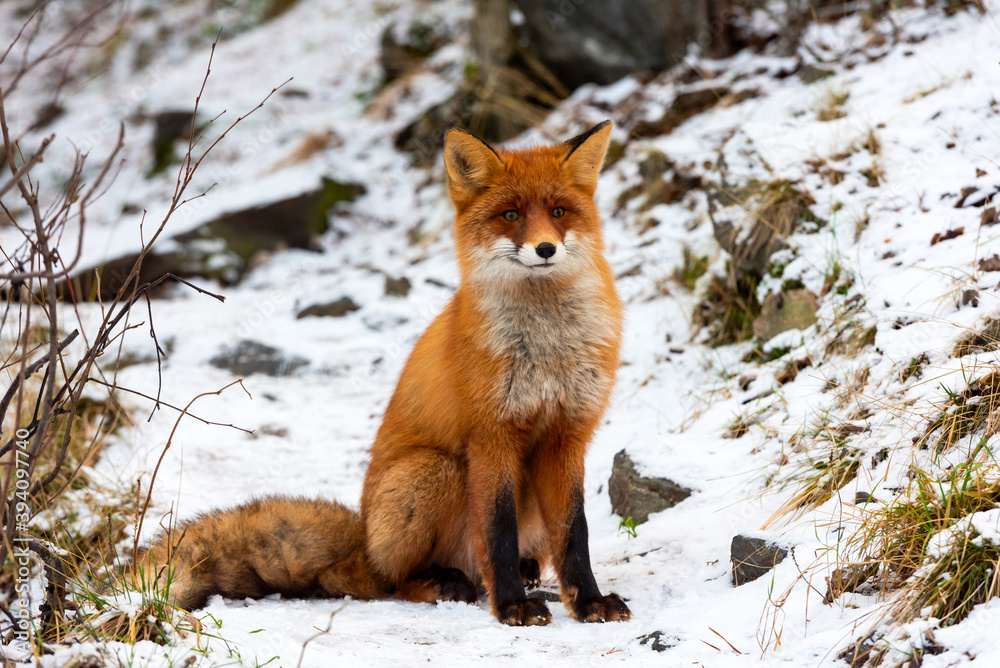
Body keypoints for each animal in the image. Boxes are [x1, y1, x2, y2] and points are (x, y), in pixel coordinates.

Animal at [141, 121, 630, 626]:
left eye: (558, 212)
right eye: (511, 214)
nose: (546, 248)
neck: (546, 348)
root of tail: (364, 541)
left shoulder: (567, 435)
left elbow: (574, 534)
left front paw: (589, 601)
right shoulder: (491, 436)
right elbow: (497, 532)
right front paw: (512, 605)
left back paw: (526, 569)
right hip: (432, 470)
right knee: (391, 581)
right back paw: (442, 581)